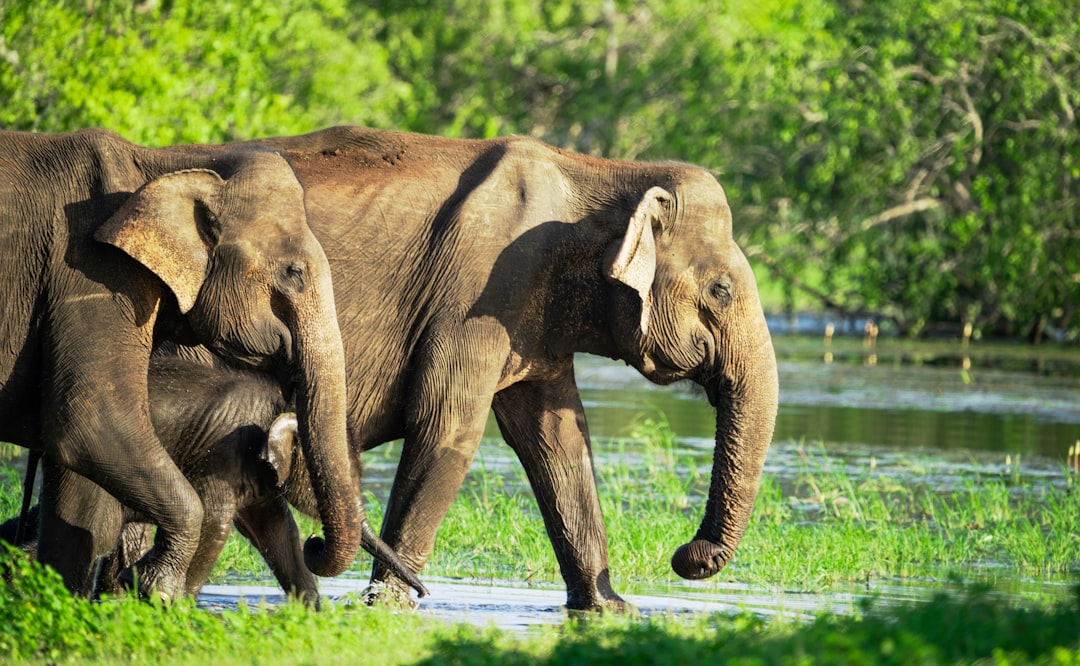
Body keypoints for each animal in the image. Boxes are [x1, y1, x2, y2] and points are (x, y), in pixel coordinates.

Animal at [0, 128, 364, 601]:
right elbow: (90, 423)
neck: (162, 164)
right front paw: (155, 590)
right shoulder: (90, 274)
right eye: (293, 273)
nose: (316, 544)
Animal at [2, 352, 428, 607]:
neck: (284, 404)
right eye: (332, 479)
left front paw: (313, 615)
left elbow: (278, 531)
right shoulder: (223, 455)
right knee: (97, 531)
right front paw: (177, 609)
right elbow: (216, 522)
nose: (423, 593)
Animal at [224, 126, 780, 611]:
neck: (604, 173)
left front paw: (610, 611)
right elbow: (449, 427)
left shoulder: (530, 317)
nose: (685, 554)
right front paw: (390, 607)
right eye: (721, 290)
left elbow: (558, 440)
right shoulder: (480, 292)